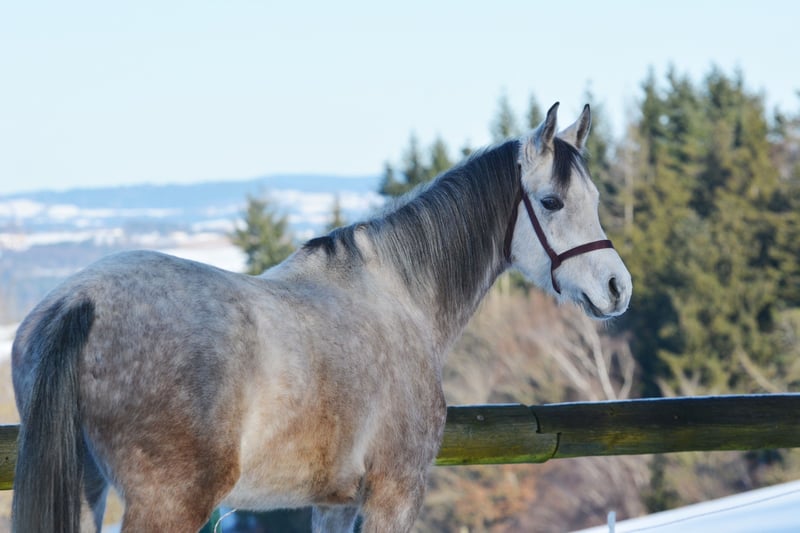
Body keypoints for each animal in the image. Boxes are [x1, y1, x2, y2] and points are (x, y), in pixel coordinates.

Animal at [11, 102, 631, 533]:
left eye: (597, 198)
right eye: (551, 201)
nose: (616, 286)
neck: (401, 294)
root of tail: (78, 302)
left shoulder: (333, 502)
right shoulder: (394, 493)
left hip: (87, 490)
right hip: (168, 504)